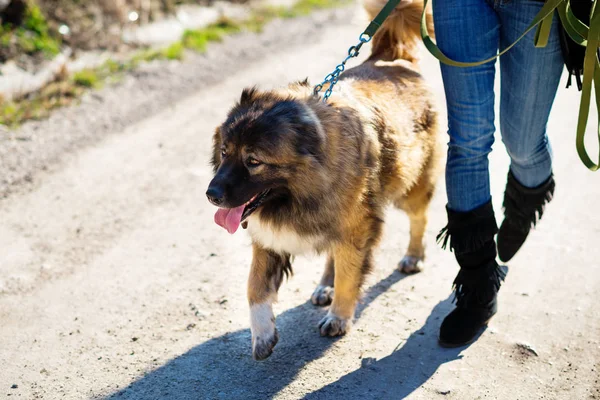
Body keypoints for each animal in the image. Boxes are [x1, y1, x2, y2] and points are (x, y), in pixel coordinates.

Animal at [206, 0, 440, 360]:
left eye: (253, 161)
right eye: (224, 152)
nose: (211, 194)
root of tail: (390, 57)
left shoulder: (357, 228)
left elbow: (349, 275)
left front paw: (339, 317)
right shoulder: (269, 239)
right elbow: (254, 287)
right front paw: (262, 334)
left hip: (408, 190)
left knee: (419, 219)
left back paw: (413, 256)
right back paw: (324, 285)